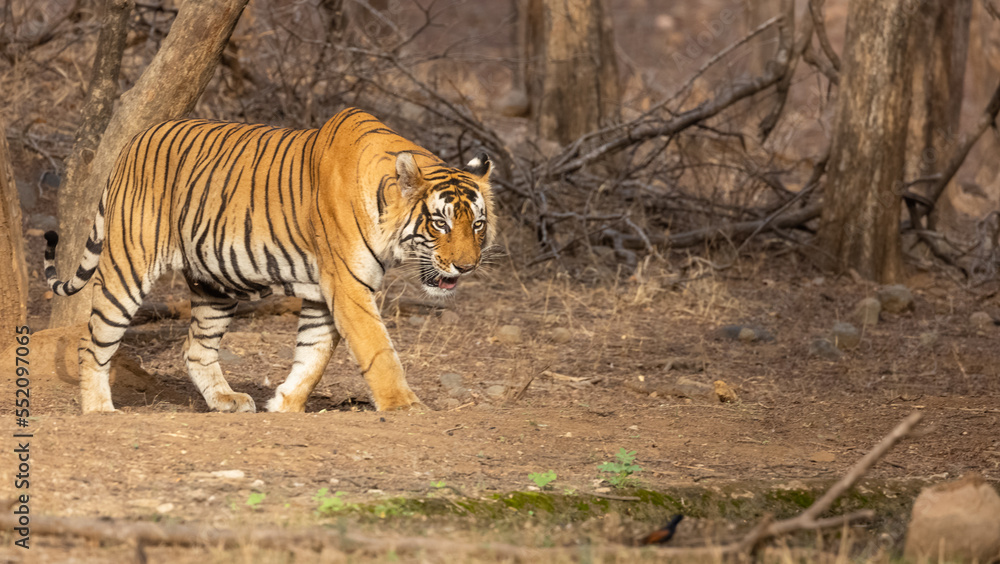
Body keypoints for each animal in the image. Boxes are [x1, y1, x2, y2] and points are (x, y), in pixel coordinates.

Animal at [43, 107, 495, 414]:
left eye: (477, 224)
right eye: (439, 223)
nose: (466, 267)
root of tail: (132, 142)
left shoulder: (325, 291)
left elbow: (314, 353)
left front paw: (284, 403)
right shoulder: (348, 284)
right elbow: (376, 347)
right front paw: (404, 406)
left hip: (214, 284)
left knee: (196, 348)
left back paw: (226, 399)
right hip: (128, 267)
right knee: (93, 341)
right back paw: (99, 409)